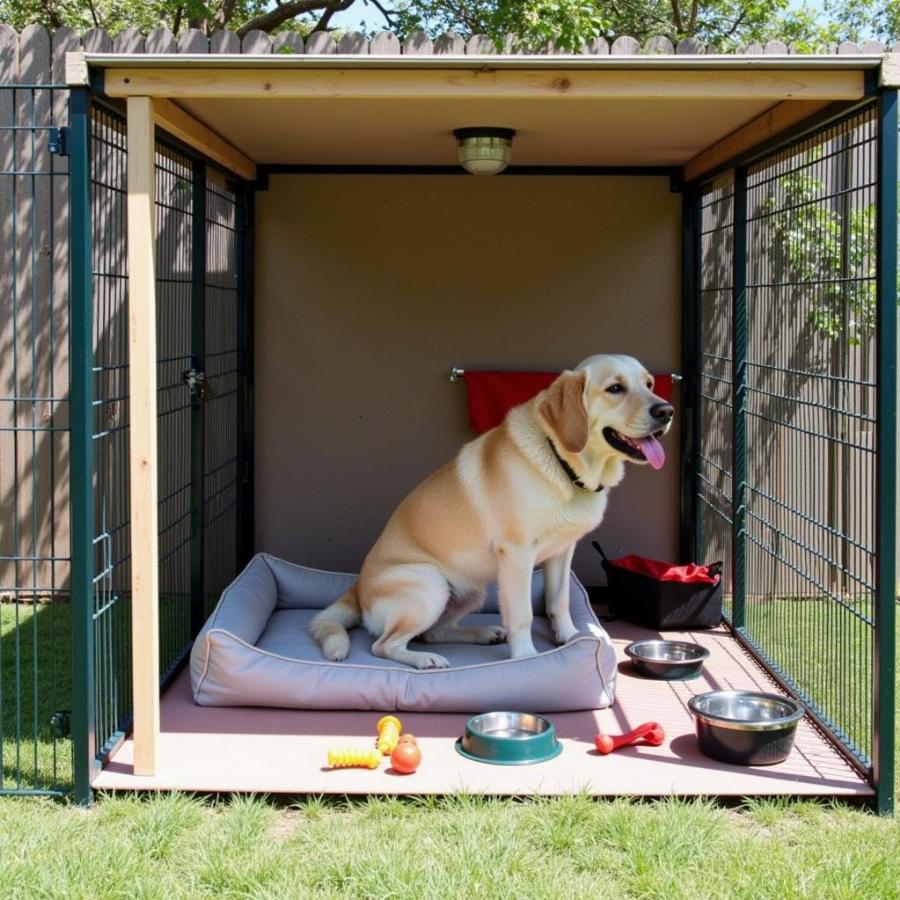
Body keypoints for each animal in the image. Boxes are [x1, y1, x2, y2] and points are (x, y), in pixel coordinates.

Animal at [312, 356, 672, 672]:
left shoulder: (562, 552)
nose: (666, 411)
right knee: (383, 645)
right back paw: (424, 660)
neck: (562, 463)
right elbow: (523, 614)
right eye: (615, 388)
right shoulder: (516, 554)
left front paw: (572, 638)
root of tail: (357, 588)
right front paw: (526, 657)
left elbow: (559, 601)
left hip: (470, 591)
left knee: (432, 633)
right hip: (430, 584)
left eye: (649, 384)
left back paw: (482, 634)